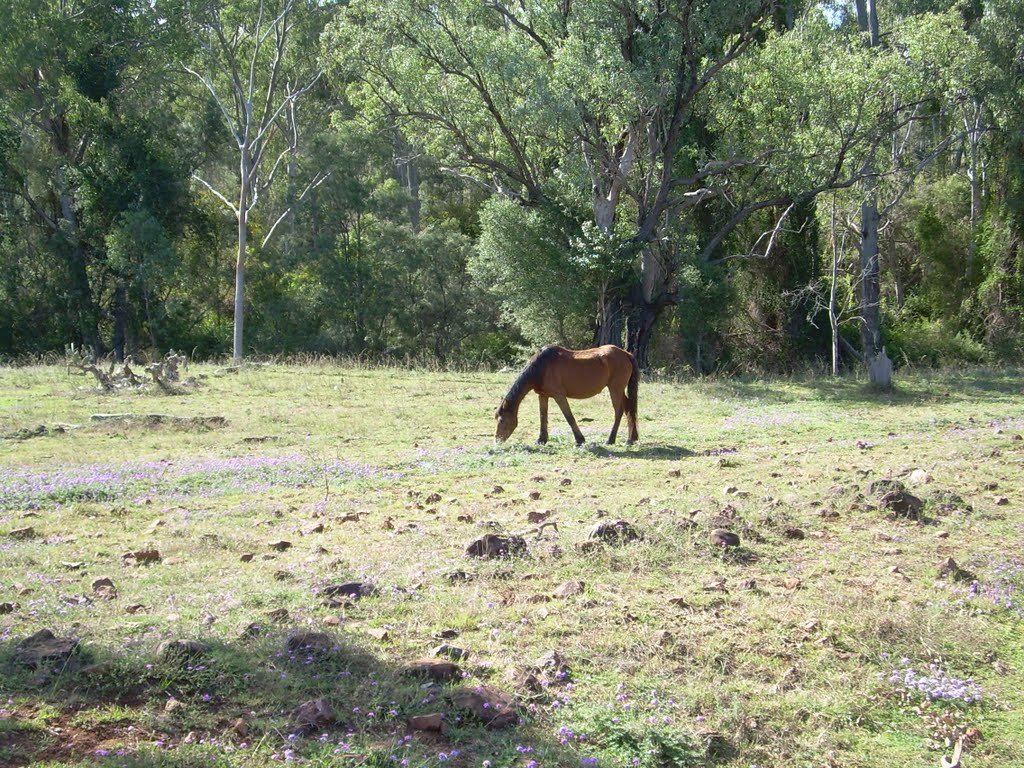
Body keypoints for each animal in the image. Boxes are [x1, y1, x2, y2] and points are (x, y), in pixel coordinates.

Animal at [491, 348, 634, 448]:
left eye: (502, 420)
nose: (497, 440)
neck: (542, 366)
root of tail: (626, 354)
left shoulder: (559, 396)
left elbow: (569, 417)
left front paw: (580, 440)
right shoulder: (543, 395)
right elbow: (543, 417)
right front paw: (541, 439)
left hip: (615, 389)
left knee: (619, 412)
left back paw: (610, 440)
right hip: (619, 391)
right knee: (629, 409)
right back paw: (631, 439)